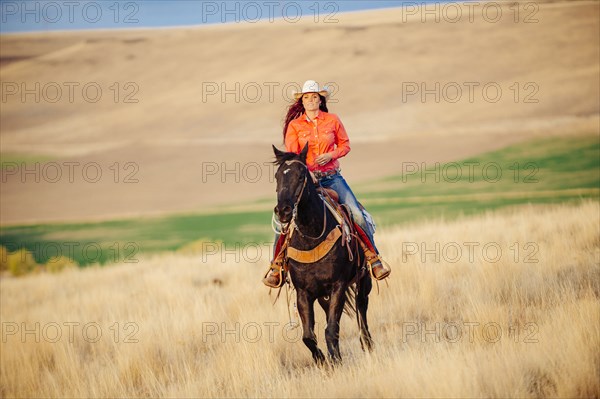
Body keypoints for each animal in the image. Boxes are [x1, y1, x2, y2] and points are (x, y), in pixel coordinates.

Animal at [274, 145, 376, 366]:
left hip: (364, 278)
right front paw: (322, 359)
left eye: (301, 175)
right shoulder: (303, 293)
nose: (283, 211)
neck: (311, 236)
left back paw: (367, 343)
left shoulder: (338, 286)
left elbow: (331, 329)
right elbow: (308, 336)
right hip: (322, 295)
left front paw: (335, 359)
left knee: (361, 306)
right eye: (277, 176)